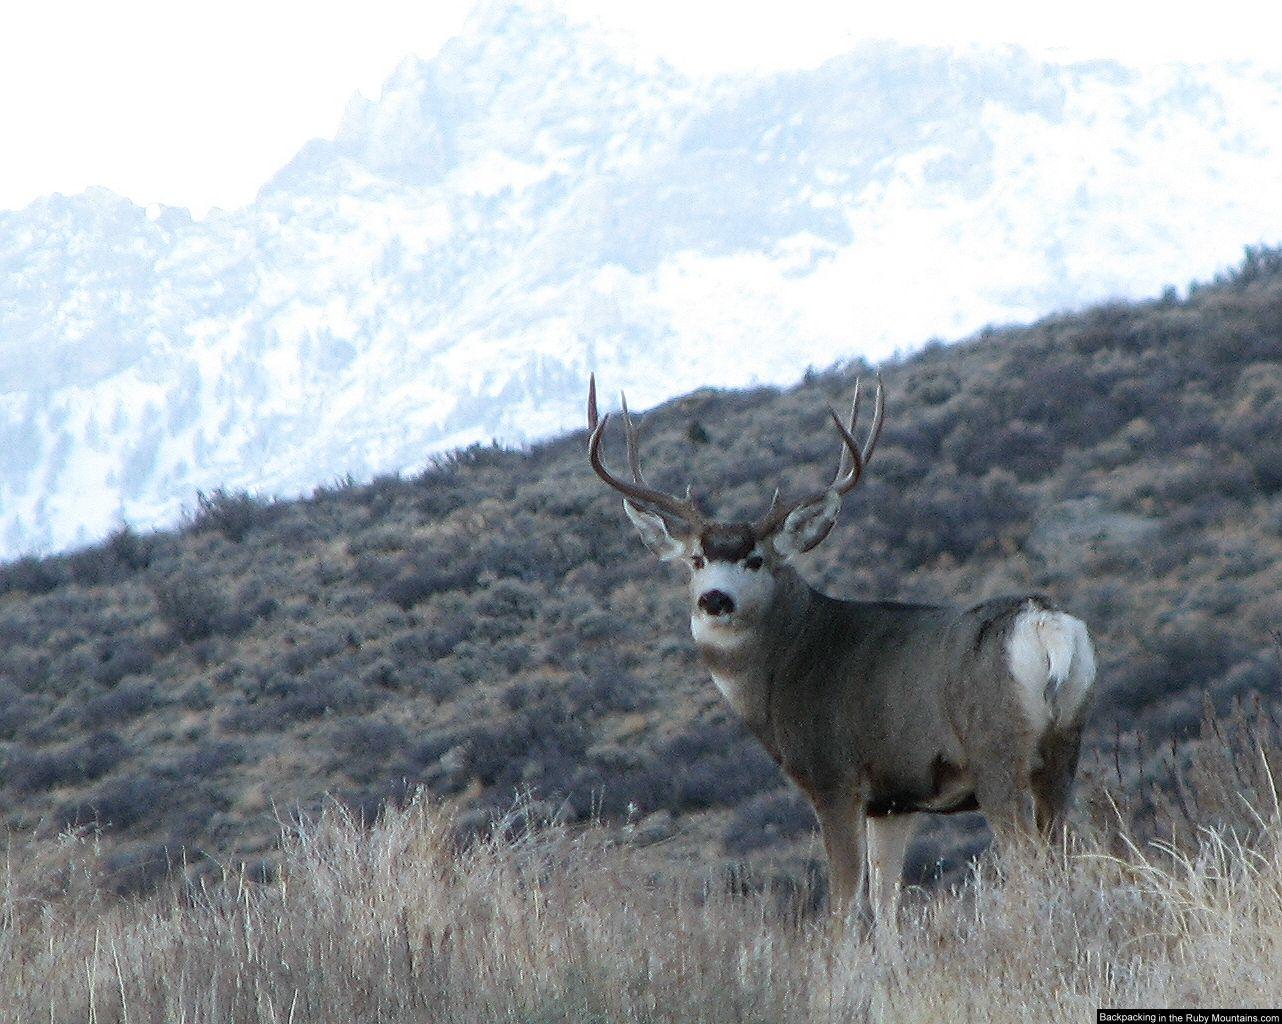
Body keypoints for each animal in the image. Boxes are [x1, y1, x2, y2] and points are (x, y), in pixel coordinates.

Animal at [585, 374, 1096, 925]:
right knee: (1061, 854)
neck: (789, 662)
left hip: (995, 752)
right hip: (1063, 748)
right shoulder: (893, 800)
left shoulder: (834, 777)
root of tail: (1045, 623)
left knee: (1029, 863)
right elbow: (885, 903)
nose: (715, 599)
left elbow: (843, 905)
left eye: (756, 559)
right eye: (697, 559)